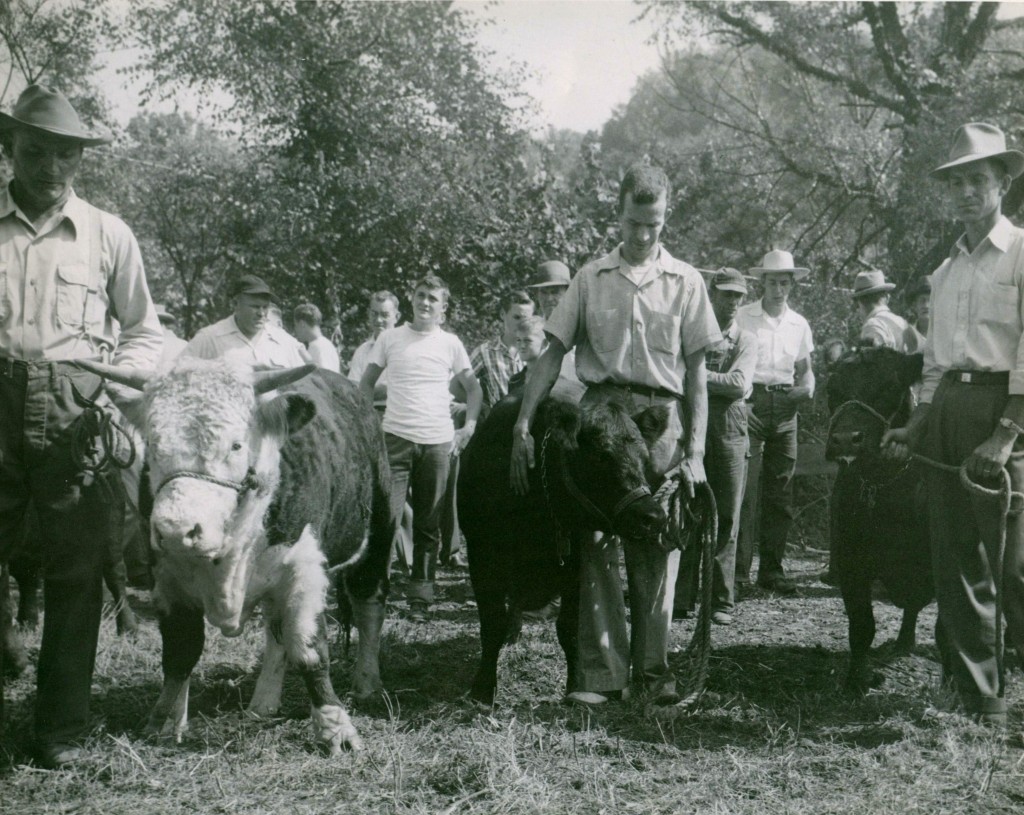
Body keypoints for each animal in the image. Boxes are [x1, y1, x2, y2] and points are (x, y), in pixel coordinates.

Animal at [75, 360, 393, 753]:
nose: (176, 530)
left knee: (369, 606)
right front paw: (166, 721)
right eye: (152, 442)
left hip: (377, 536)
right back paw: (264, 701)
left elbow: (310, 651)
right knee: (275, 631)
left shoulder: (305, 572)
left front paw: (335, 728)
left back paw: (367, 682)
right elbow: (180, 652)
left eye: (236, 444)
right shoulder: (167, 582)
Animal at [458, 395, 667, 708]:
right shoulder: (482, 558)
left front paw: (576, 686)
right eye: (601, 456)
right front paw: (482, 690)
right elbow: (492, 624)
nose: (652, 516)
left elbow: (569, 629)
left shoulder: (575, 568)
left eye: (644, 459)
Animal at [827, 346, 933, 692]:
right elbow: (862, 623)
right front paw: (857, 679)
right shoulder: (849, 559)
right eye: (832, 389)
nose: (846, 439)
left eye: (889, 385)